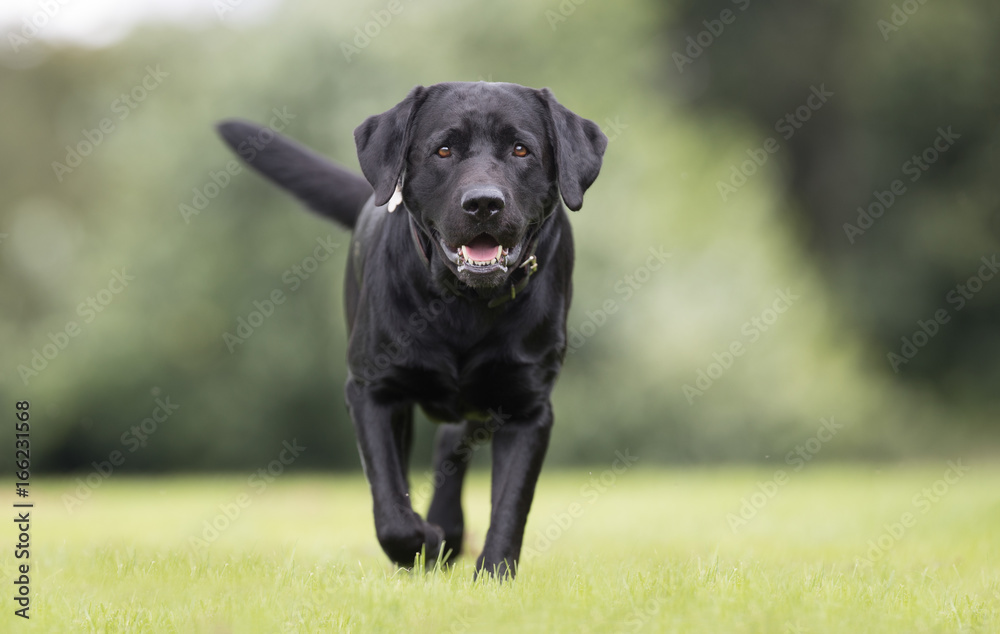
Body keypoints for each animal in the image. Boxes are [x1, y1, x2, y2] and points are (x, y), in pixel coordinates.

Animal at [218, 81, 604, 576]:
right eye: (443, 150)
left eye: (521, 150)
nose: (483, 203)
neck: (464, 305)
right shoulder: (373, 391)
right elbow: (390, 505)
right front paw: (424, 541)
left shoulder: (527, 407)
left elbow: (510, 507)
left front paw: (491, 575)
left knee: (450, 443)